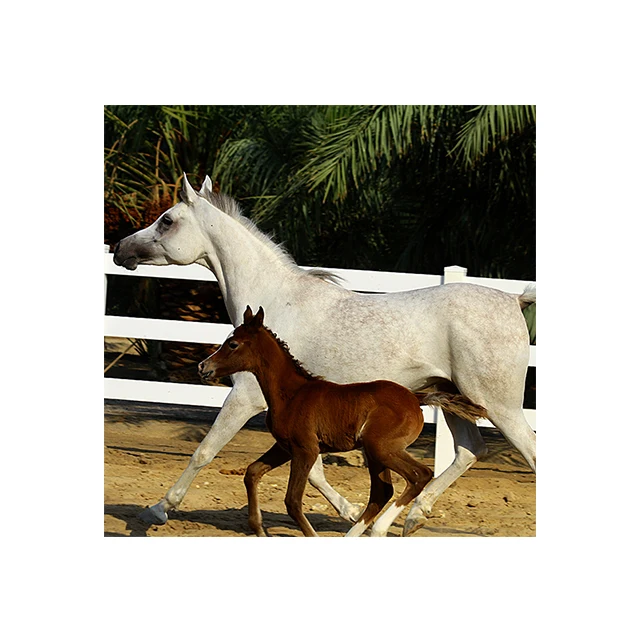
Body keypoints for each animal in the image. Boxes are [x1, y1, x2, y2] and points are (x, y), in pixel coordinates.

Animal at [199, 306, 489, 537]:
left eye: (233, 344)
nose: (203, 366)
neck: (291, 393)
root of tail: (415, 397)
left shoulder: (306, 449)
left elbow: (292, 501)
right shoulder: (284, 447)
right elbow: (252, 472)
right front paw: (259, 529)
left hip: (381, 447)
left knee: (420, 475)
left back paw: (380, 529)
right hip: (375, 452)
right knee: (381, 492)